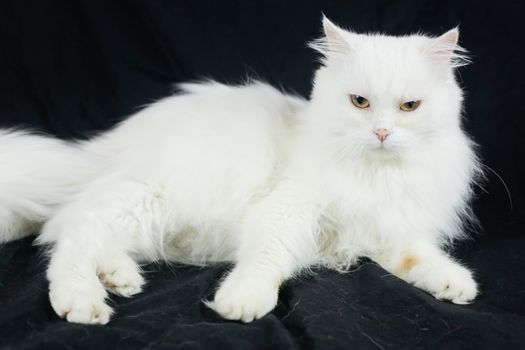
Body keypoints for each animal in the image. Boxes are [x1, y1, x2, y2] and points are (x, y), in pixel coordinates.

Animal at [0, 17, 478, 324]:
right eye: (359, 102)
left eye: (409, 107)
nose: (381, 132)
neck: (377, 175)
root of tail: (105, 145)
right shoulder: (287, 210)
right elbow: (266, 259)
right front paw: (243, 301)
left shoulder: (389, 229)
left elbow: (420, 259)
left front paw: (456, 285)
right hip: (147, 198)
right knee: (70, 238)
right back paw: (83, 301)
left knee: (78, 230)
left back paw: (119, 278)